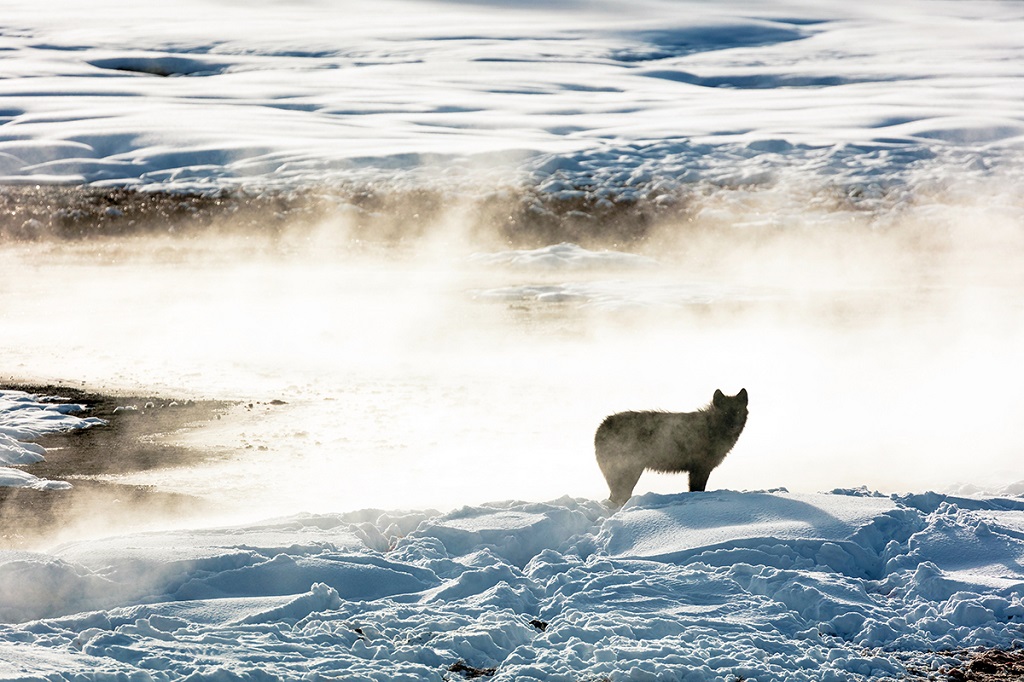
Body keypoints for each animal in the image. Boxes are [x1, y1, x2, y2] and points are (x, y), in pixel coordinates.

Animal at [595, 388, 748, 507]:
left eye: (738, 412)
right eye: (725, 413)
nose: (733, 426)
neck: (712, 428)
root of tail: (600, 427)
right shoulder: (699, 469)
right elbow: (697, 490)